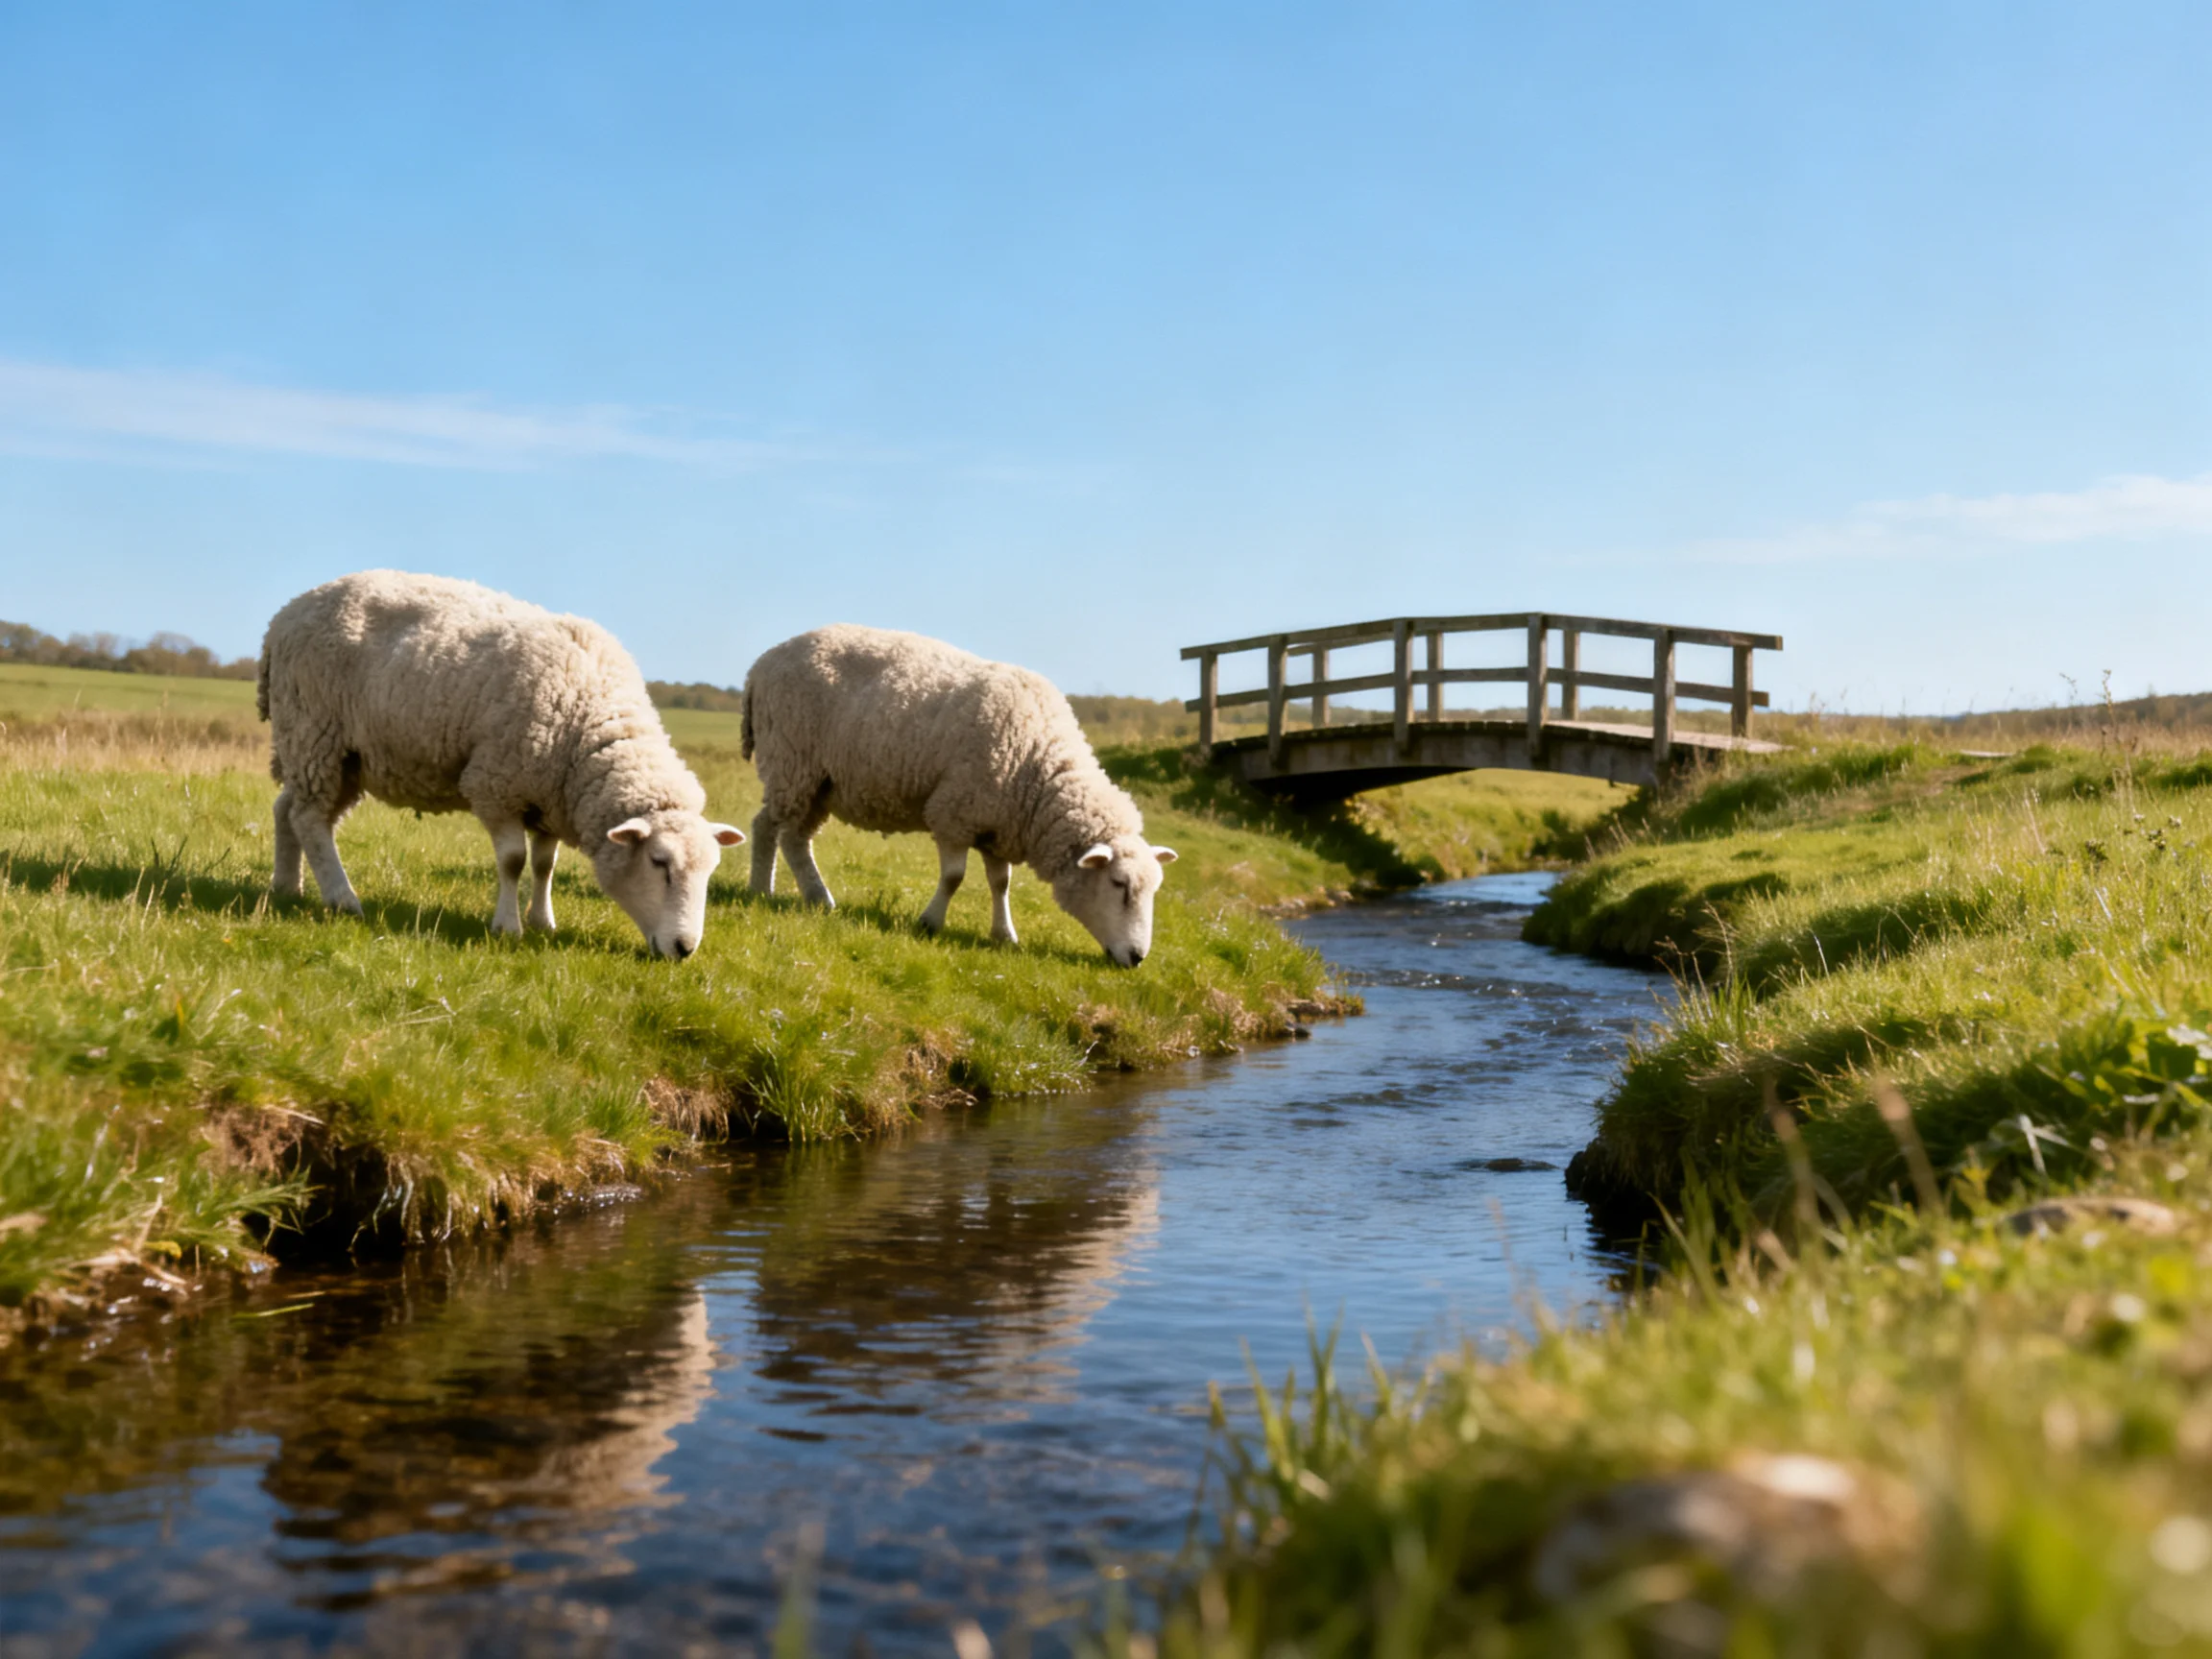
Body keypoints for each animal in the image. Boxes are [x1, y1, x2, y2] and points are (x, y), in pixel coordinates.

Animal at [257, 570, 744, 959]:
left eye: (711, 870)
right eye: (659, 863)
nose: (684, 949)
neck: (588, 723)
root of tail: (287, 613)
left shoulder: (551, 797)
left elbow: (545, 864)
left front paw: (544, 921)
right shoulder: (496, 784)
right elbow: (513, 860)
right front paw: (507, 927)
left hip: (340, 755)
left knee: (289, 810)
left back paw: (287, 886)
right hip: (314, 729)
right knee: (311, 820)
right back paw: (342, 899)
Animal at [742, 624, 1177, 967]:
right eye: (1119, 884)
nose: (1137, 958)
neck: (1039, 767)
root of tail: (762, 662)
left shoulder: (998, 825)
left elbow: (1000, 883)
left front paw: (1005, 935)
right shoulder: (953, 813)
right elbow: (954, 877)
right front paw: (930, 922)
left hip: (816, 781)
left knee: (792, 836)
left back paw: (803, 895)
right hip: (791, 760)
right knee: (769, 829)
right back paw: (773, 892)